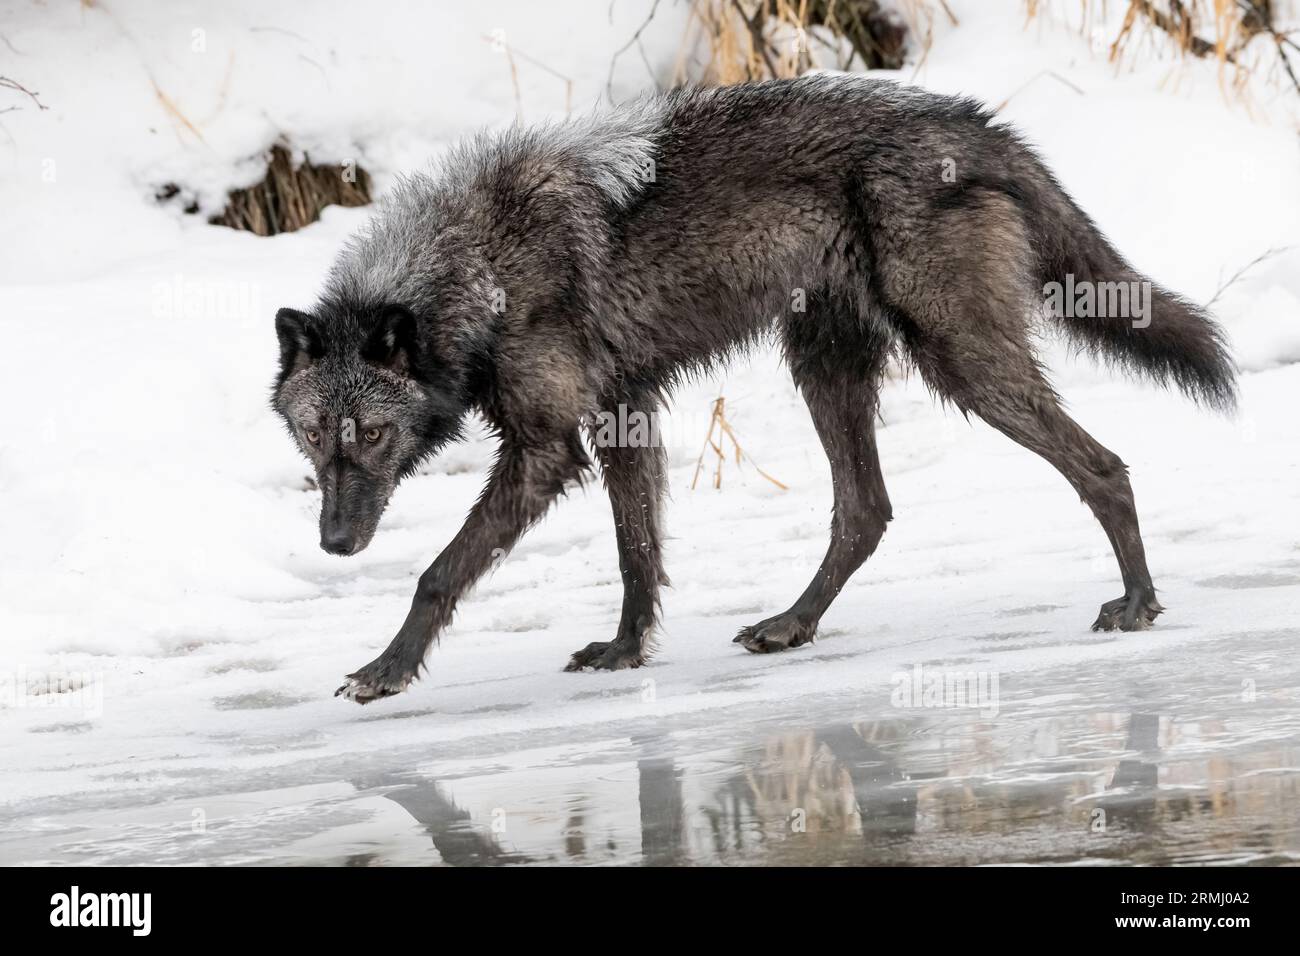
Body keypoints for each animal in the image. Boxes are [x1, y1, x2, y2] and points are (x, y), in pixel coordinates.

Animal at [271, 76, 1236, 704]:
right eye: (313, 438)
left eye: (370, 435)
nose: (333, 544)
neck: (475, 268)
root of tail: (969, 121)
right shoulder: (623, 418)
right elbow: (637, 554)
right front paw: (626, 651)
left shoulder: (547, 450)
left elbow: (439, 571)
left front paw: (385, 671)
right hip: (827, 369)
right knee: (866, 511)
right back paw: (791, 625)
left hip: (962, 364)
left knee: (1102, 467)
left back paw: (1138, 605)